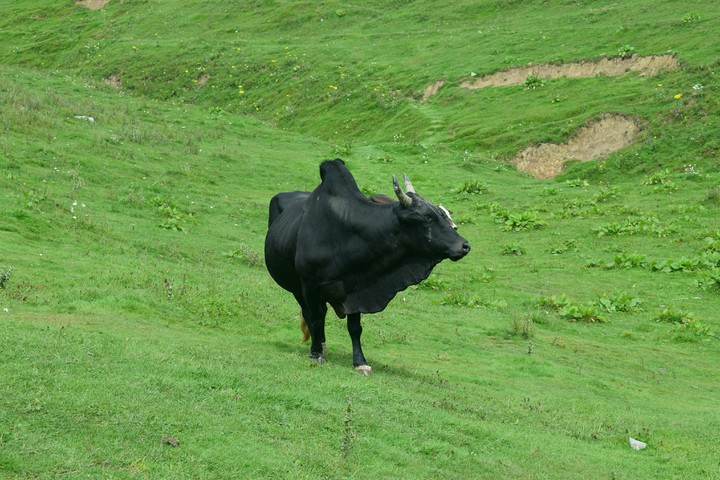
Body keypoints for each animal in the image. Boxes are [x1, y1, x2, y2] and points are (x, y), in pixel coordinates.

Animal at [264, 159, 470, 374]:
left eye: (442, 215)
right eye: (429, 218)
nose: (464, 245)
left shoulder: (357, 289)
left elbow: (355, 328)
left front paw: (360, 362)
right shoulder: (309, 287)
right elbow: (315, 319)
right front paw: (316, 354)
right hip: (296, 287)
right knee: (310, 313)